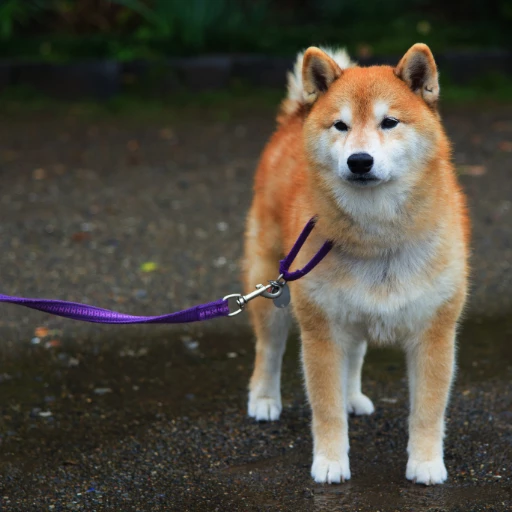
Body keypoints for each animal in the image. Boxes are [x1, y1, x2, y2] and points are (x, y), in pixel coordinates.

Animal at [242, 43, 470, 484]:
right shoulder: (321, 332)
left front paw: (426, 463)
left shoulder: (434, 332)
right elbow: (325, 409)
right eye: (340, 126)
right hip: (272, 285)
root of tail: (295, 116)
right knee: (269, 347)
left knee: (355, 355)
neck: (378, 238)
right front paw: (330, 462)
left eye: (389, 122)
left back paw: (352, 396)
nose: (359, 161)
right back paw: (263, 398)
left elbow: (428, 410)